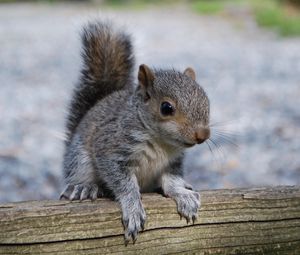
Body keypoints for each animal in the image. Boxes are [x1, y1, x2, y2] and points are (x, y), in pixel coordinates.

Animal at [60, 20, 211, 245]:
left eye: (207, 101)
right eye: (166, 108)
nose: (203, 135)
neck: (162, 143)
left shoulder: (173, 163)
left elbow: (172, 180)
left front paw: (183, 195)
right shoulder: (112, 148)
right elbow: (123, 183)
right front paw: (133, 209)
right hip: (80, 158)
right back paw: (84, 187)